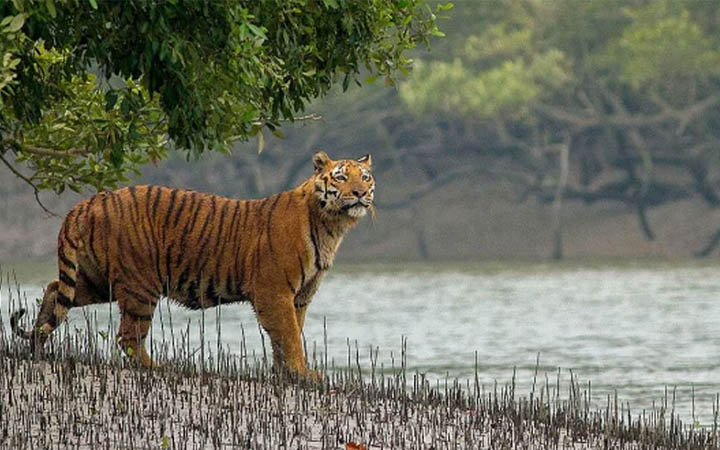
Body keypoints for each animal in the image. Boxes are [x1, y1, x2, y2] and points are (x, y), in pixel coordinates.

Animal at [11, 153, 376, 378]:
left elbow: (287, 337)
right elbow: (289, 336)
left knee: (54, 290)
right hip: (140, 285)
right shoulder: (274, 292)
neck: (331, 225)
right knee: (128, 336)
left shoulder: (299, 296)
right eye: (341, 178)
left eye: (365, 177)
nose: (360, 193)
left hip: (98, 279)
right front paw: (302, 373)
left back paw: (37, 346)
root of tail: (88, 202)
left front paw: (286, 374)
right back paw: (158, 367)